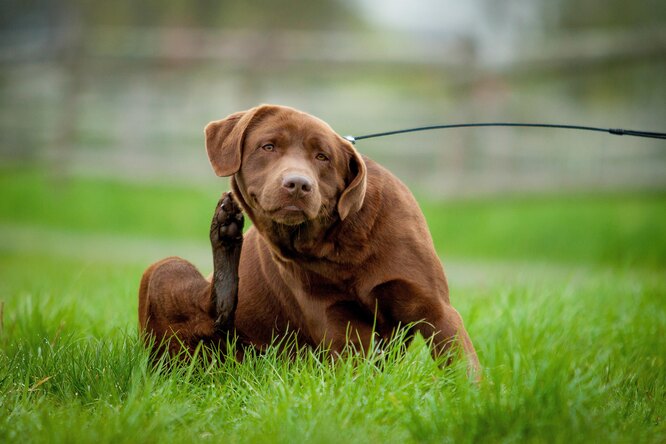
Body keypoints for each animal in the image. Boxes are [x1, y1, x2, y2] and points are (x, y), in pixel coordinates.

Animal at [137, 106, 478, 372]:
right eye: (268, 146)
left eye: (322, 156)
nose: (298, 184)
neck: (335, 243)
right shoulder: (336, 323)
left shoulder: (434, 308)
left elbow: (460, 364)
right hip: (164, 269)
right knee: (213, 313)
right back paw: (225, 230)